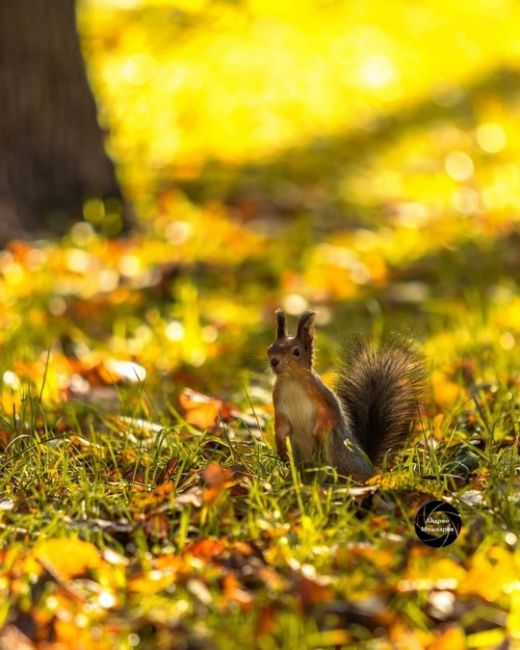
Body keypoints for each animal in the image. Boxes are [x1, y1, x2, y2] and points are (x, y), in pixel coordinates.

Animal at [268, 308, 426, 480]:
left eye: (296, 352)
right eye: (270, 349)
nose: (274, 361)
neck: (291, 381)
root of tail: (368, 463)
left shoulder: (324, 400)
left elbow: (329, 419)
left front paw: (317, 439)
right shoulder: (279, 405)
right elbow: (280, 426)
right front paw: (280, 446)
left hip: (344, 459)